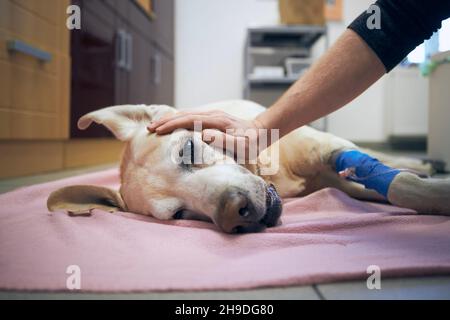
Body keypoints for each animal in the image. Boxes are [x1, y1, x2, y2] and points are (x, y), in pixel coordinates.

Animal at [46, 100, 450, 232]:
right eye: (180, 214)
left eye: (189, 150)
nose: (233, 212)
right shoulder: (339, 179)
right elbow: (392, 187)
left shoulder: (328, 148)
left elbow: (402, 185)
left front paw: (433, 188)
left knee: (382, 157)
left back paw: (424, 161)